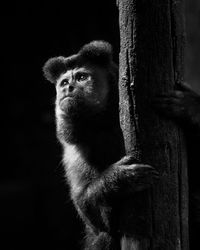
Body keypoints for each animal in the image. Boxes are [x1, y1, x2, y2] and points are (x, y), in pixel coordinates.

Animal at [42, 40, 158, 249]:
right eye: (64, 82)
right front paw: (120, 179)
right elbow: (93, 218)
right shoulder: (74, 150)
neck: (101, 124)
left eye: (81, 77)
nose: (67, 89)